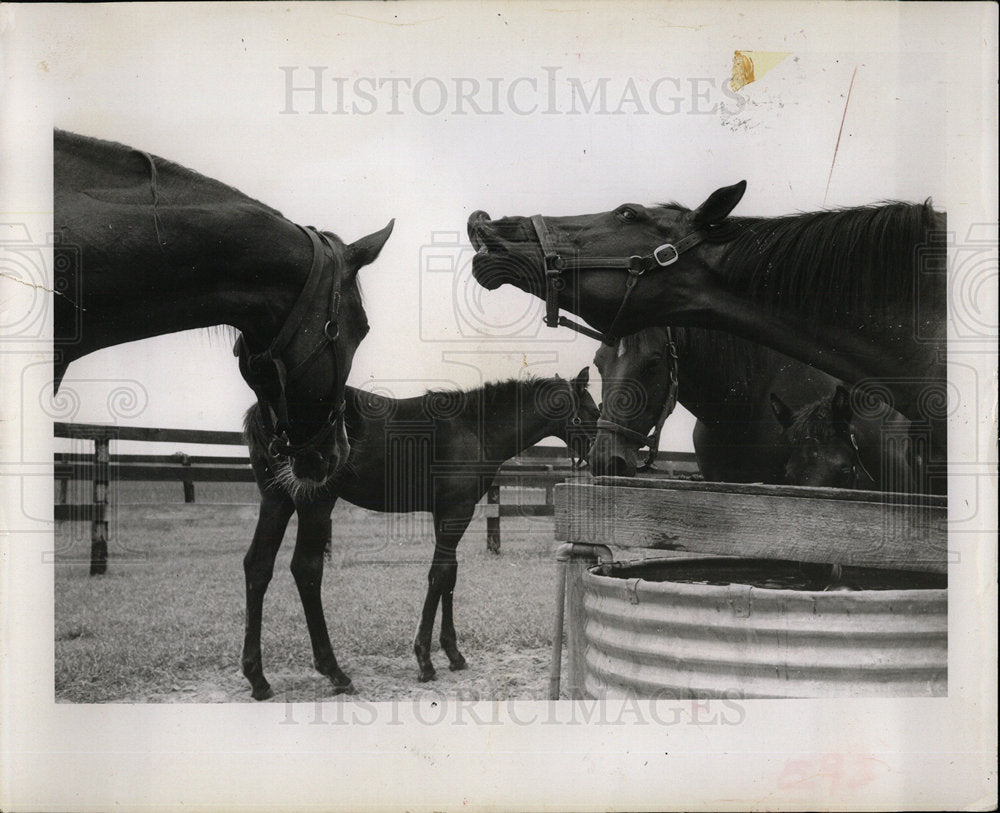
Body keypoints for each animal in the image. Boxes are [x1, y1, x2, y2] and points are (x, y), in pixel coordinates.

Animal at [240, 368, 600, 696]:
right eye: (594, 413)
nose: (602, 459)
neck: (474, 427)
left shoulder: (449, 515)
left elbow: (450, 574)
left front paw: (453, 653)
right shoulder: (456, 512)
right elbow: (438, 575)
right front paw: (425, 660)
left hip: (275, 501)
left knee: (257, 566)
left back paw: (257, 677)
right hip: (315, 504)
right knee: (306, 569)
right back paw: (334, 672)